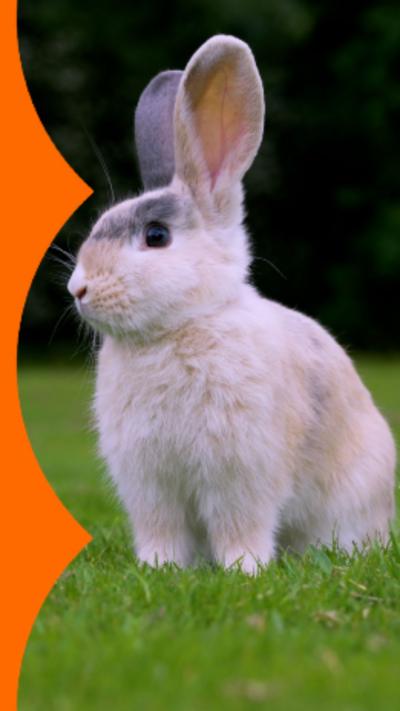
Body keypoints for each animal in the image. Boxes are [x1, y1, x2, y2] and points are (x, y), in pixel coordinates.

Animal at [67, 35, 396, 574]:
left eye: (156, 236)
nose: (79, 289)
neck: (181, 326)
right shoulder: (151, 485)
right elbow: (161, 532)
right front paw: (159, 569)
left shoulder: (239, 475)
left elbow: (240, 526)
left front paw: (244, 570)